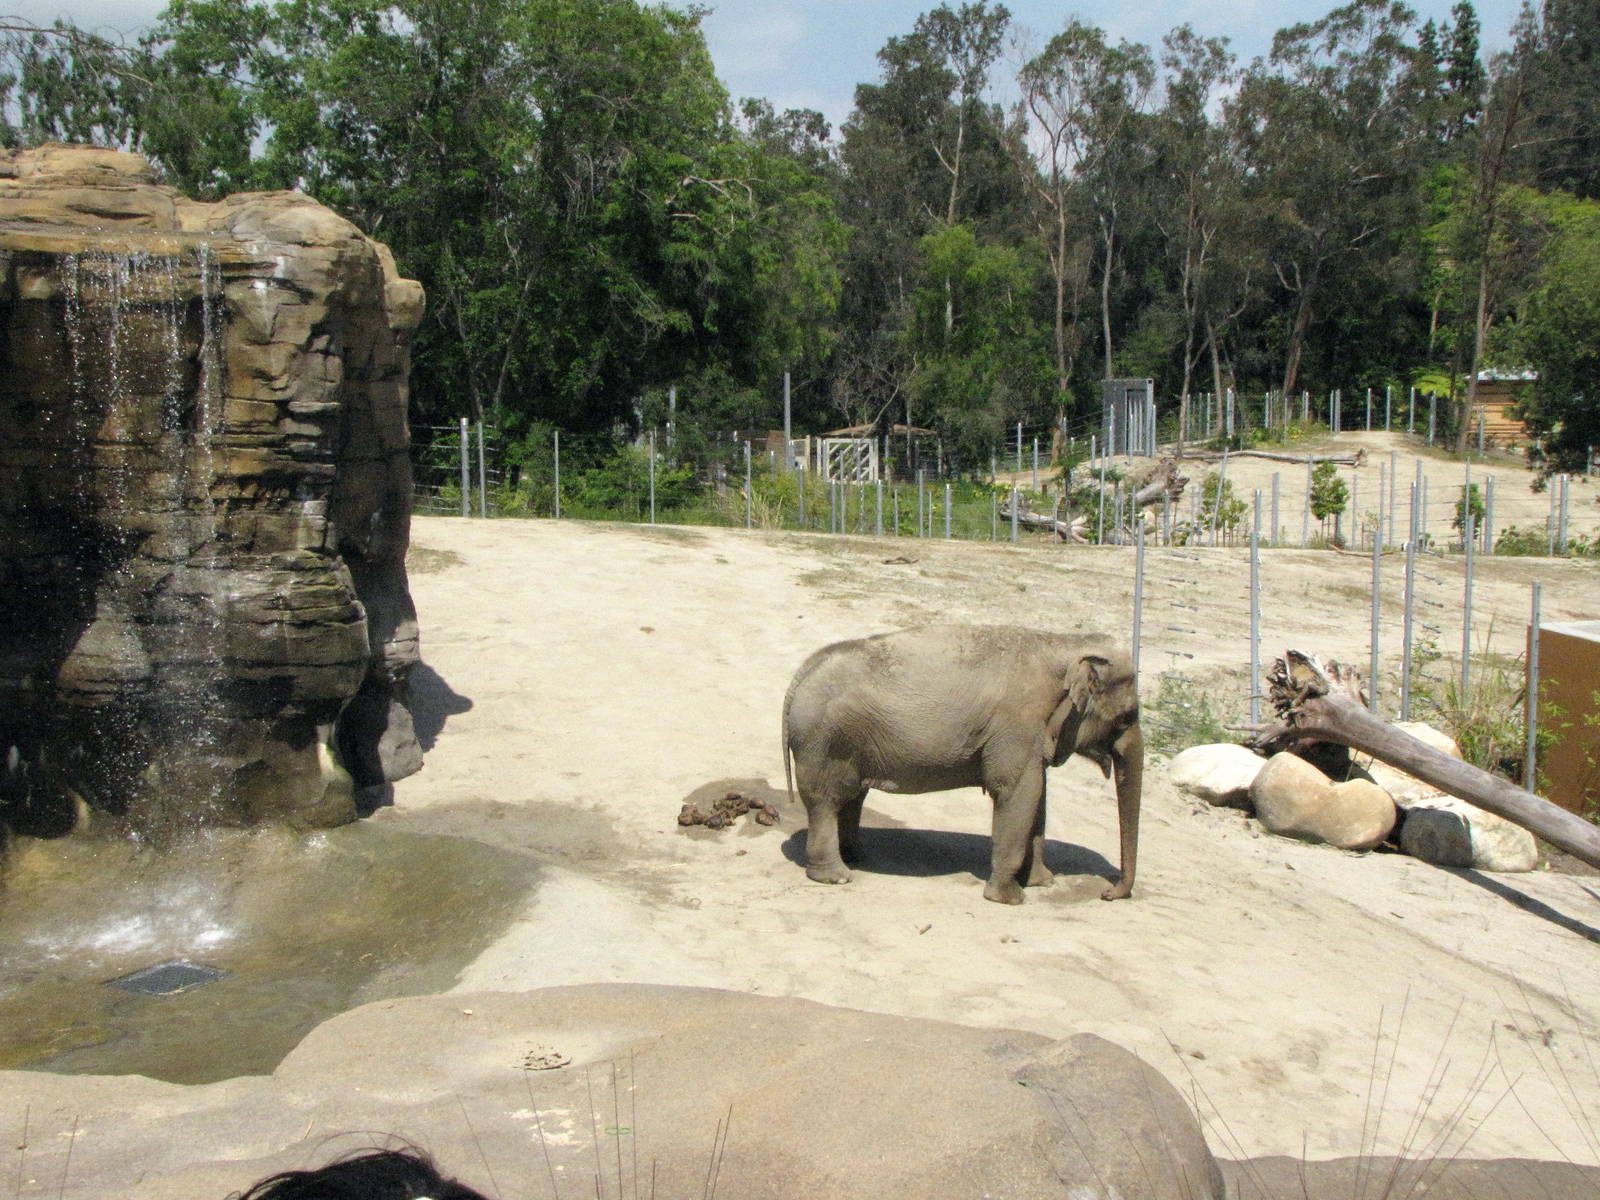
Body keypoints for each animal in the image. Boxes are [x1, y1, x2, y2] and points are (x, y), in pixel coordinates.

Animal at [781, 624, 1142, 904]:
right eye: (1127, 717)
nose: (1107, 893)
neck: (1064, 644)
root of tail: (798, 678)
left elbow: (1037, 799)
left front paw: (1042, 882)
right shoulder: (1016, 726)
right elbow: (1018, 793)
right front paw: (1009, 898)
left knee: (852, 798)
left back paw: (857, 858)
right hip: (824, 743)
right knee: (827, 802)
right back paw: (836, 876)